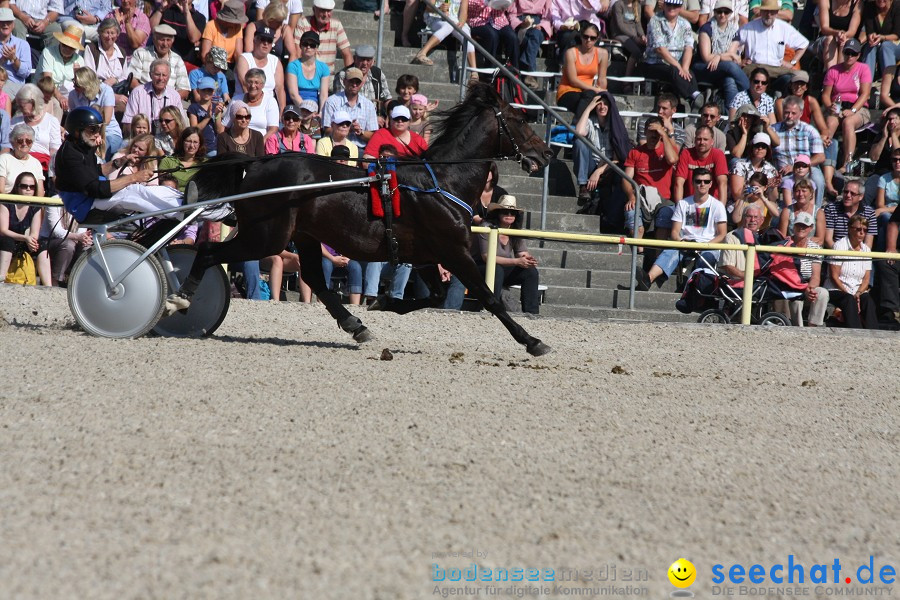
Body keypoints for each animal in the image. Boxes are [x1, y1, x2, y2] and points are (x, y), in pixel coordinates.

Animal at [178, 85, 552, 356]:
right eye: (520, 119)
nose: (547, 153)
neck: (442, 183)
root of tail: (255, 164)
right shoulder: (455, 252)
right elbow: (490, 298)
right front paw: (533, 341)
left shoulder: (427, 257)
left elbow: (435, 296)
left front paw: (386, 302)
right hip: (266, 236)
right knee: (209, 251)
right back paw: (181, 297)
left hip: (304, 235)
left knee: (316, 278)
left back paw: (355, 325)